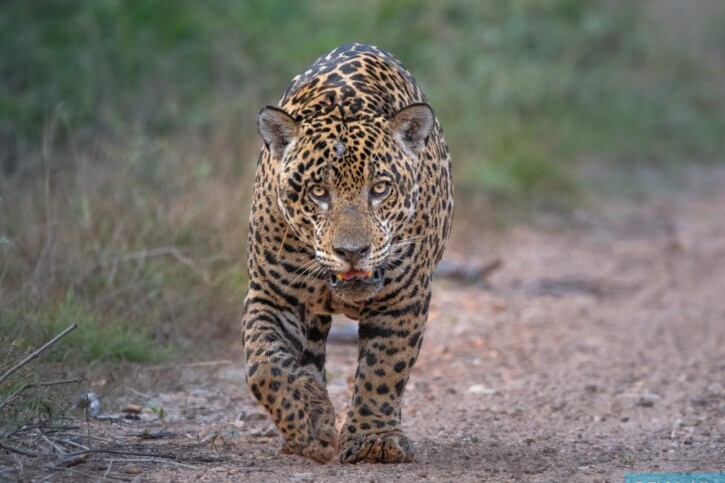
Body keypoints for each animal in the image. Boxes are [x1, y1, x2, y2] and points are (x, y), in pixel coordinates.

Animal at [241, 43, 453, 464]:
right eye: (318, 192)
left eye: (380, 188)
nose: (352, 252)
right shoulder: (271, 293)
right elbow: (263, 366)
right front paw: (311, 425)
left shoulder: (404, 298)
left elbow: (384, 369)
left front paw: (374, 440)